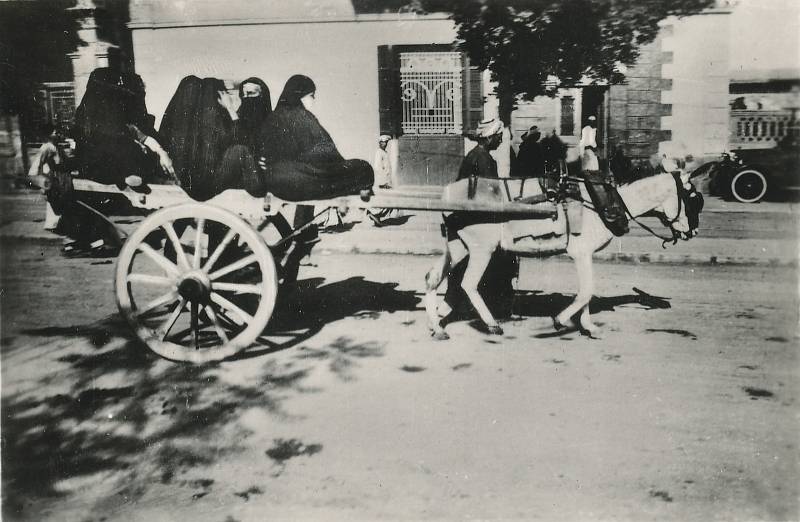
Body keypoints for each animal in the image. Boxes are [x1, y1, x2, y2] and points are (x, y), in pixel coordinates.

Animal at [424, 170, 700, 338]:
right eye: (693, 197)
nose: (693, 231)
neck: (602, 202)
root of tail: (448, 194)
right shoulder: (581, 252)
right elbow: (586, 291)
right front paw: (561, 320)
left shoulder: (585, 254)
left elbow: (587, 292)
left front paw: (588, 326)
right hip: (482, 249)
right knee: (468, 284)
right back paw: (491, 324)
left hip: (459, 245)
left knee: (433, 278)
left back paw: (437, 324)